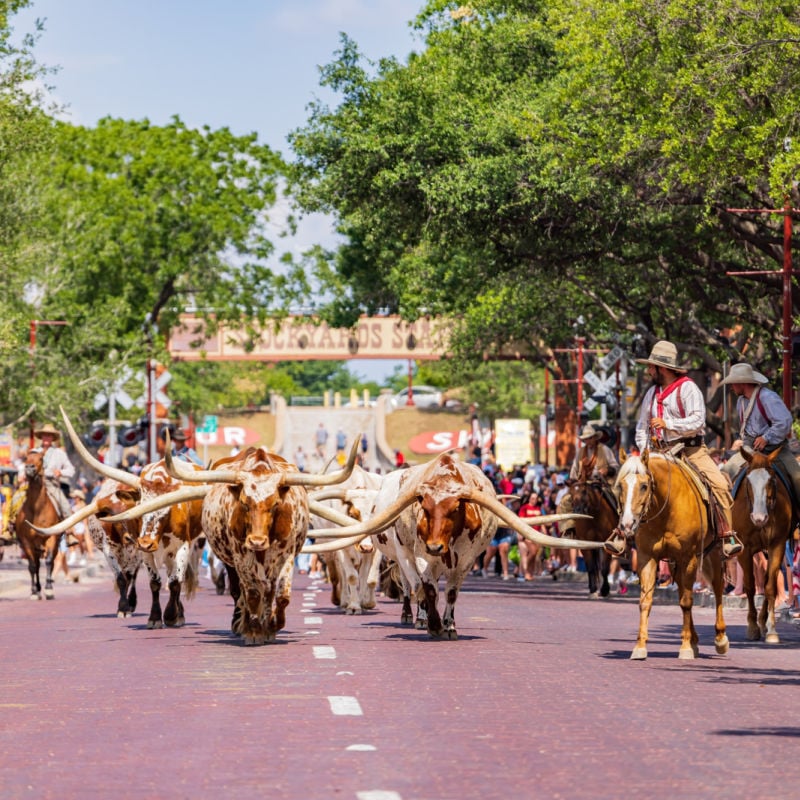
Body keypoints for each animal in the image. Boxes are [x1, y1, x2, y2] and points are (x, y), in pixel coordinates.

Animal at [15, 450, 64, 600]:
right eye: (25, 458)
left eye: (41, 458)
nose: (29, 468)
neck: (37, 510)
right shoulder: (26, 541)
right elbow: (32, 566)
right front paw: (34, 592)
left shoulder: (52, 537)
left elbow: (48, 561)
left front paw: (49, 589)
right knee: (36, 565)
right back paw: (37, 588)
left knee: (50, 562)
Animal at [572, 456, 620, 592]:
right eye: (572, 492)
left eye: (584, 491)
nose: (577, 510)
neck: (594, 518)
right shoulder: (585, 543)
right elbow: (591, 567)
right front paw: (593, 588)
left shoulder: (606, 541)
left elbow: (604, 568)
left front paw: (604, 590)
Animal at [612, 450, 732, 664]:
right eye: (620, 486)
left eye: (644, 486)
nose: (626, 525)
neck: (666, 509)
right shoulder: (647, 558)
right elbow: (646, 601)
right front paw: (640, 647)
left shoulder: (688, 557)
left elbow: (687, 602)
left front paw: (685, 648)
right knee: (684, 590)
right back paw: (694, 640)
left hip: (713, 554)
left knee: (717, 588)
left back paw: (720, 639)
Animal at [732, 446, 792, 648]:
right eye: (748, 481)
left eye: (771, 480)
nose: (759, 518)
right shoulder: (744, 550)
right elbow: (750, 586)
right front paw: (752, 627)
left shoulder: (777, 546)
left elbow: (770, 587)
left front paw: (772, 630)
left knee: (768, 581)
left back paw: (764, 622)